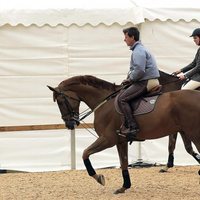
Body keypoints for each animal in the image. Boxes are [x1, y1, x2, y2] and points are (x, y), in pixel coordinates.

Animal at [48, 75, 200, 194]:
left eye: (60, 102)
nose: (69, 124)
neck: (104, 103)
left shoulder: (107, 139)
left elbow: (85, 153)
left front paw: (99, 178)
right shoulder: (120, 141)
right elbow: (124, 163)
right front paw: (124, 186)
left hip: (193, 133)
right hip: (186, 131)